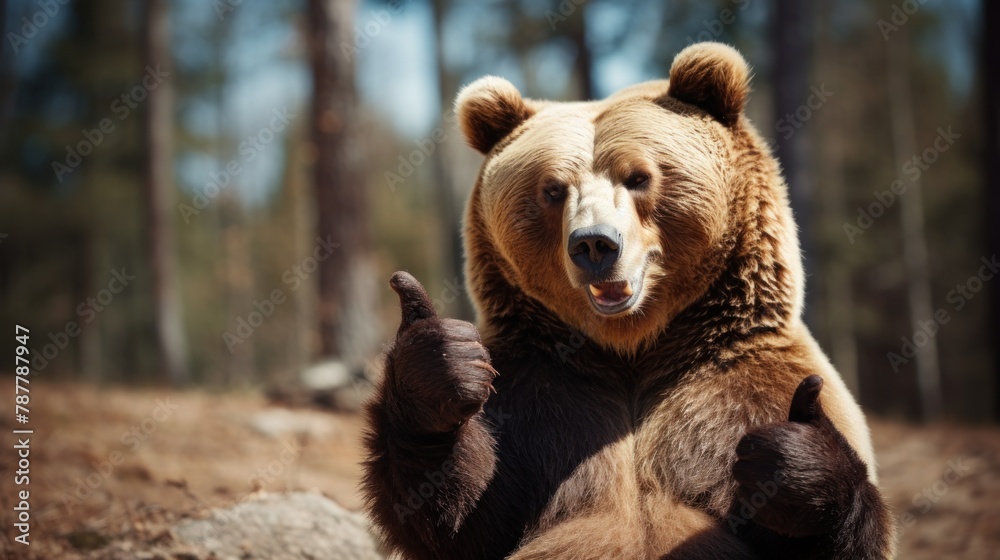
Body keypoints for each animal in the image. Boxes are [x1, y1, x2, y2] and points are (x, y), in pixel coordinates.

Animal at [361, 42, 896, 559]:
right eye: (553, 189)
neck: (631, 352)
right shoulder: (534, 394)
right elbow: (463, 518)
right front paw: (439, 362)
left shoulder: (745, 392)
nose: (594, 244)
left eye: (638, 177)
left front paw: (794, 464)